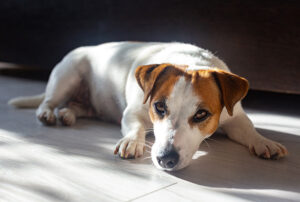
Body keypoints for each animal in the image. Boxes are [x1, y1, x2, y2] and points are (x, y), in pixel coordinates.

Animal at [8, 41, 288, 170]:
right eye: (160, 107)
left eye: (201, 114)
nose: (166, 159)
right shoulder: (133, 112)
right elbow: (136, 127)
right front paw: (132, 142)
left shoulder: (235, 117)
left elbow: (249, 130)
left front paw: (265, 142)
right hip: (67, 76)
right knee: (47, 100)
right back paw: (47, 113)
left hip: (86, 101)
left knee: (78, 107)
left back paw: (67, 114)